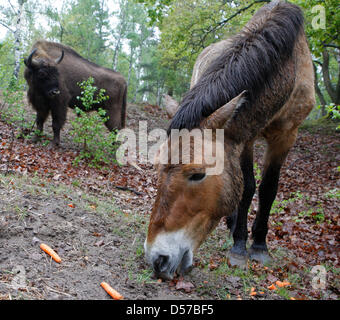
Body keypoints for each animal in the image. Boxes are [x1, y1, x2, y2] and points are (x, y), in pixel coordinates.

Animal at [143, 0, 314, 280]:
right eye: (157, 167)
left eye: (198, 174)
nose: (157, 259)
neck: (287, 65)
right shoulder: (245, 138)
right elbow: (247, 187)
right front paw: (239, 246)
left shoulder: (287, 134)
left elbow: (268, 189)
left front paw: (258, 245)